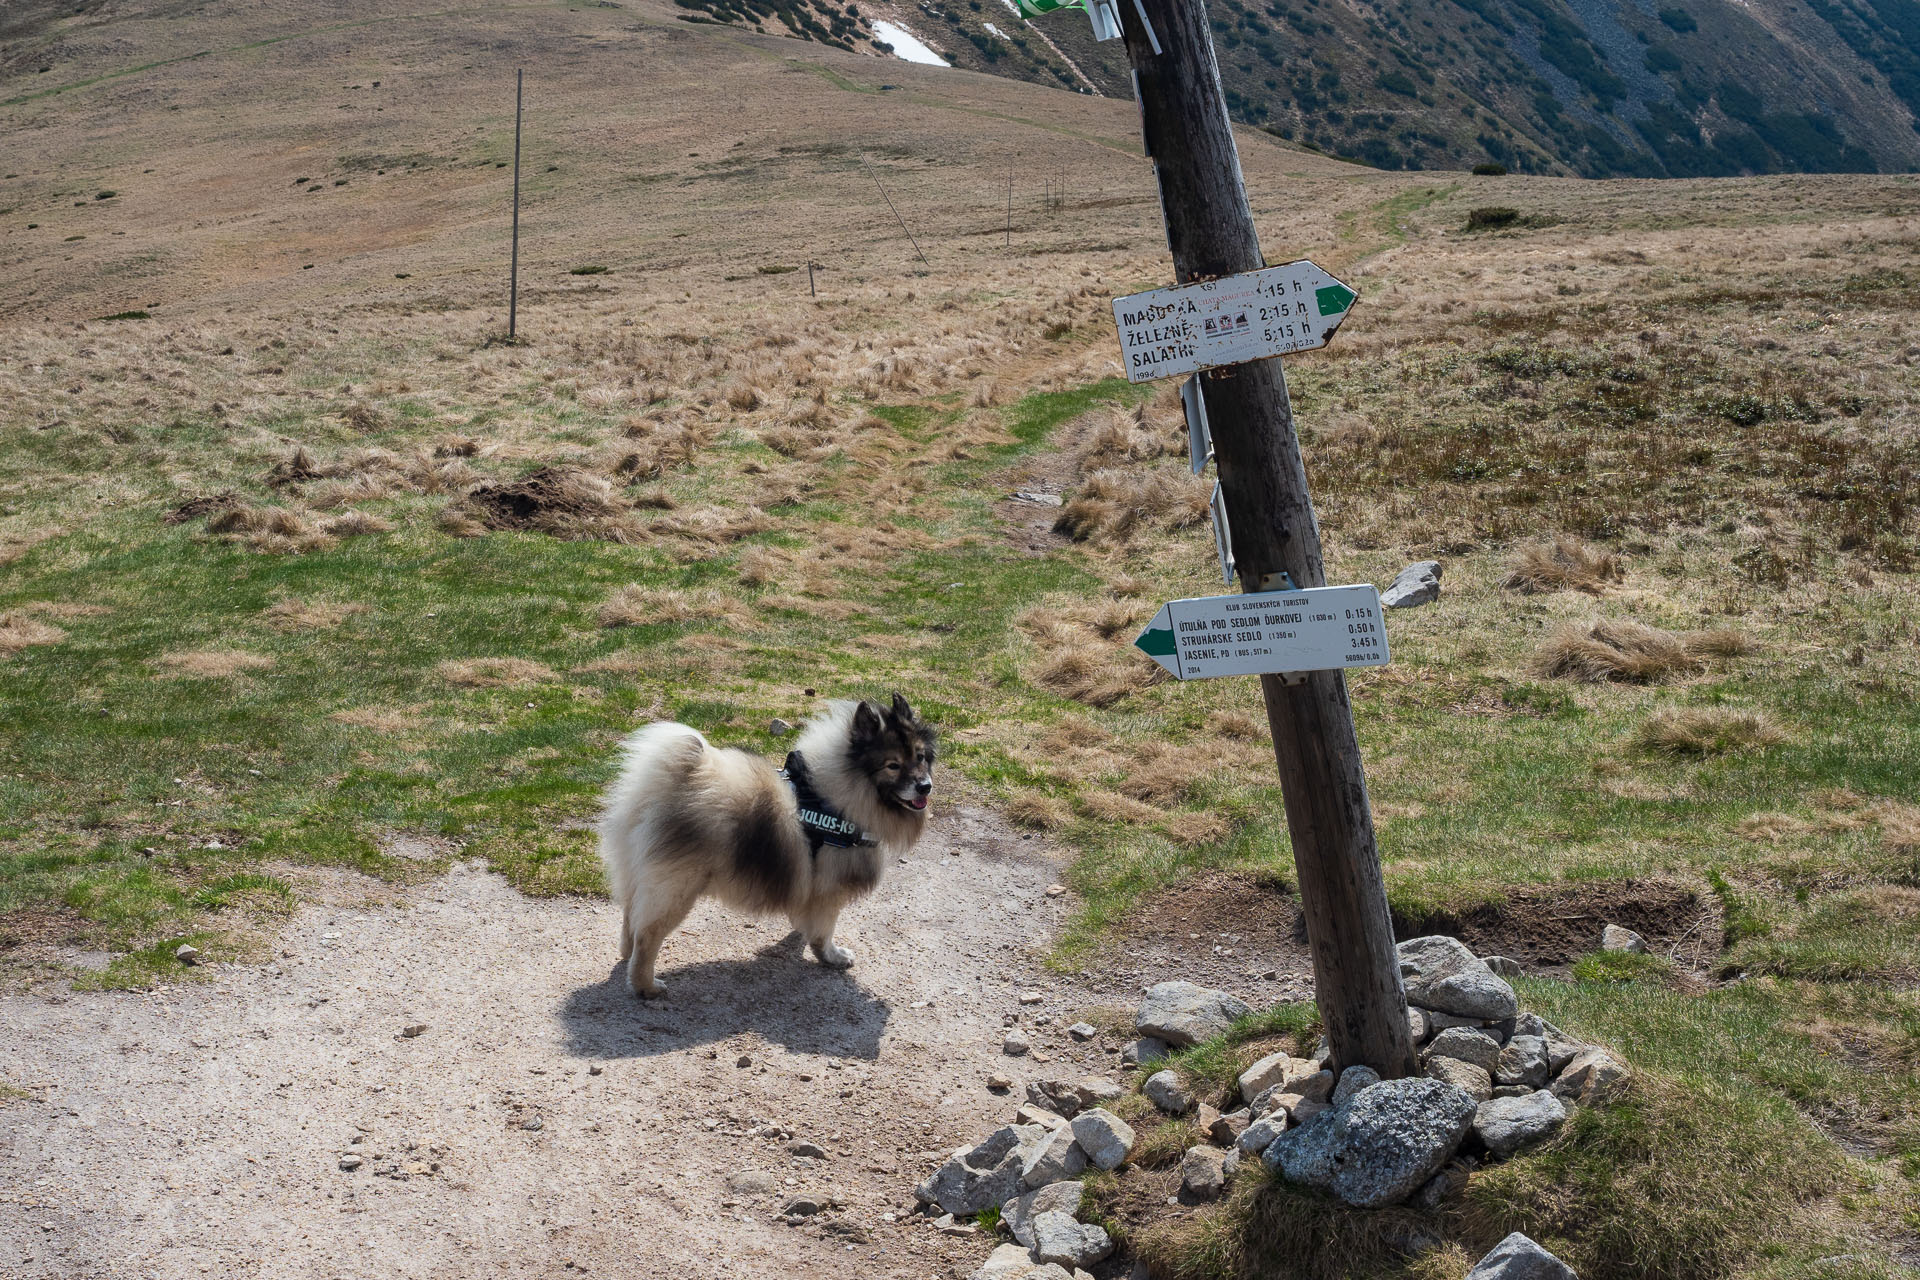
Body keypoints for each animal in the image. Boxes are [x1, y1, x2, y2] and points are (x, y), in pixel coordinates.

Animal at [595, 694, 933, 997]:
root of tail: (663, 786)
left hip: (638, 873)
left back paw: (626, 956)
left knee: (630, 917)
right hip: (677, 888)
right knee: (648, 935)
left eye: (920, 757)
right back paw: (646, 986)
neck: (840, 797)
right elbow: (825, 930)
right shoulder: (830, 889)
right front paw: (832, 956)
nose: (925, 786)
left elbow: (808, 920)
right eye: (892, 765)